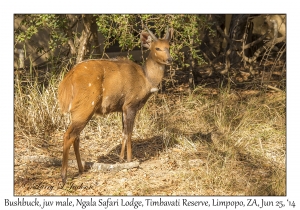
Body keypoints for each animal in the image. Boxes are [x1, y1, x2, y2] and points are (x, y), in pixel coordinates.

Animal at [58, 26, 173, 184]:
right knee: (68, 135)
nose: (169, 59)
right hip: (86, 108)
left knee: (76, 136)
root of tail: (68, 79)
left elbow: (123, 133)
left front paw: (120, 159)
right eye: (157, 48)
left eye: (168, 46)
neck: (146, 80)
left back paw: (81, 169)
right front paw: (130, 161)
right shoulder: (130, 105)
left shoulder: (122, 108)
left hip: (77, 111)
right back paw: (64, 177)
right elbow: (129, 133)